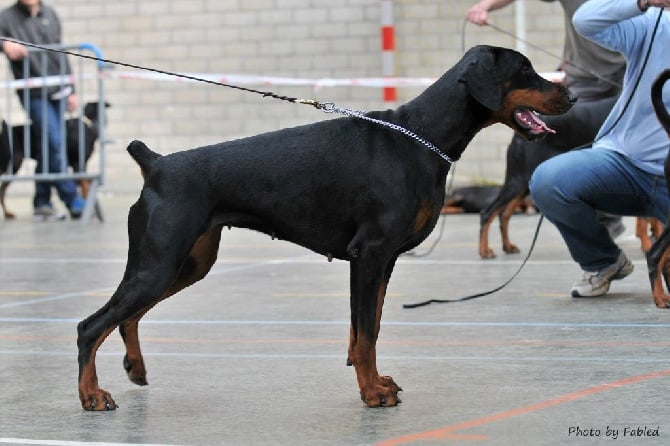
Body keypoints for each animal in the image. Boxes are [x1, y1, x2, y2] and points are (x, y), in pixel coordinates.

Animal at [76, 45, 576, 412]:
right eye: (525, 70)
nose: (570, 97)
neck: (422, 136)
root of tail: (156, 164)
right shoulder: (370, 253)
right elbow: (367, 333)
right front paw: (372, 393)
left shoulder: (382, 261)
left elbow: (366, 328)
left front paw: (375, 380)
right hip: (159, 261)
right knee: (91, 325)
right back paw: (91, 395)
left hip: (189, 262)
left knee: (126, 317)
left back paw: (136, 368)